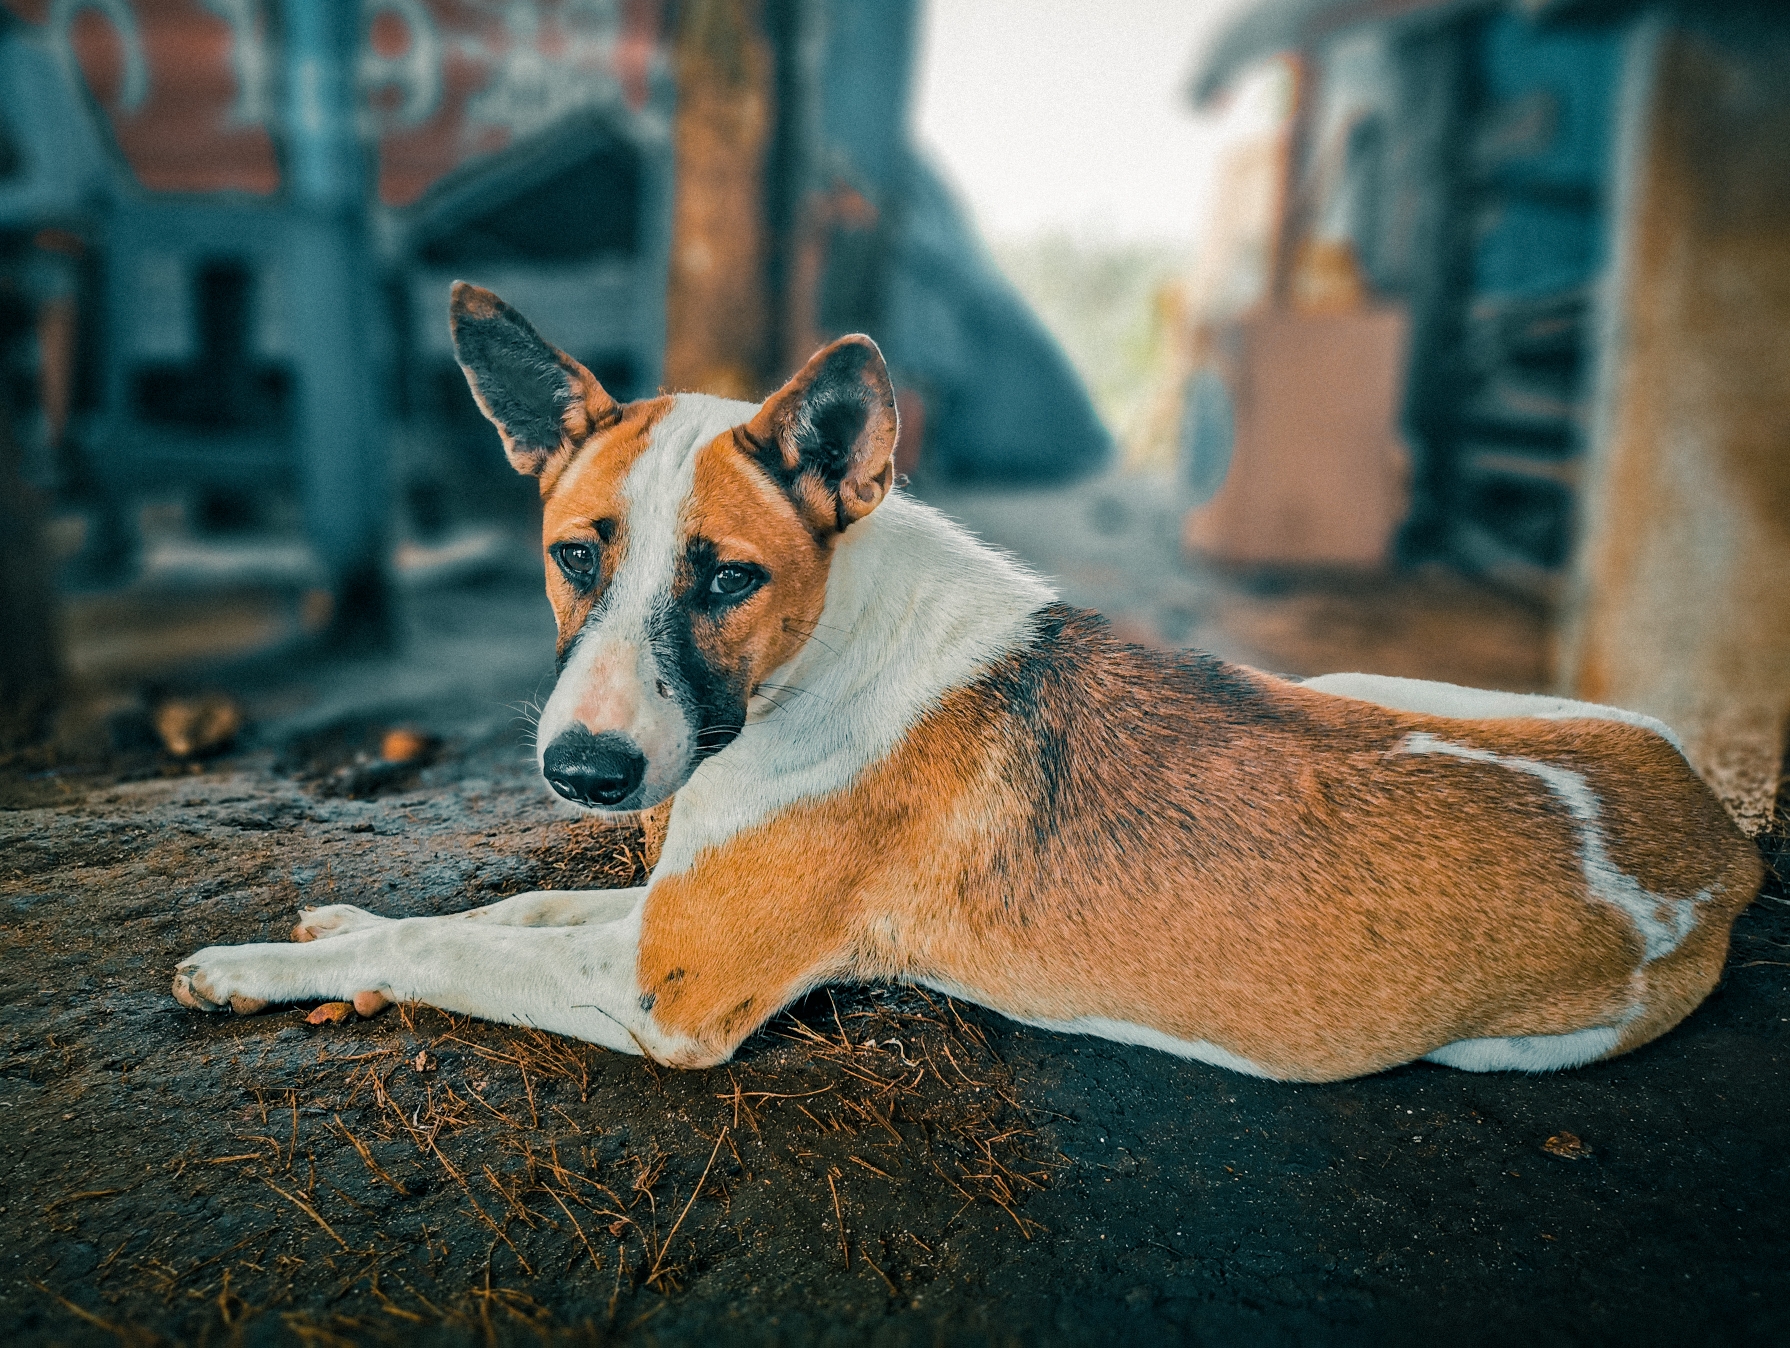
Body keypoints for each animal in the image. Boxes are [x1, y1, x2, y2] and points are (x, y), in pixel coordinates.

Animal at [170, 284, 1761, 1081]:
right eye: (573, 555)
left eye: (726, 579)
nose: (586, 773)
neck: (820, 650)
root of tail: (1722, 832)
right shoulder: (669, 905)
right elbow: (502, 913)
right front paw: (335, 927)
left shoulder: (672, 989)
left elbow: (462, 952)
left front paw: (262, 969)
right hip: (1352, 670)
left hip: (1515, 1046)